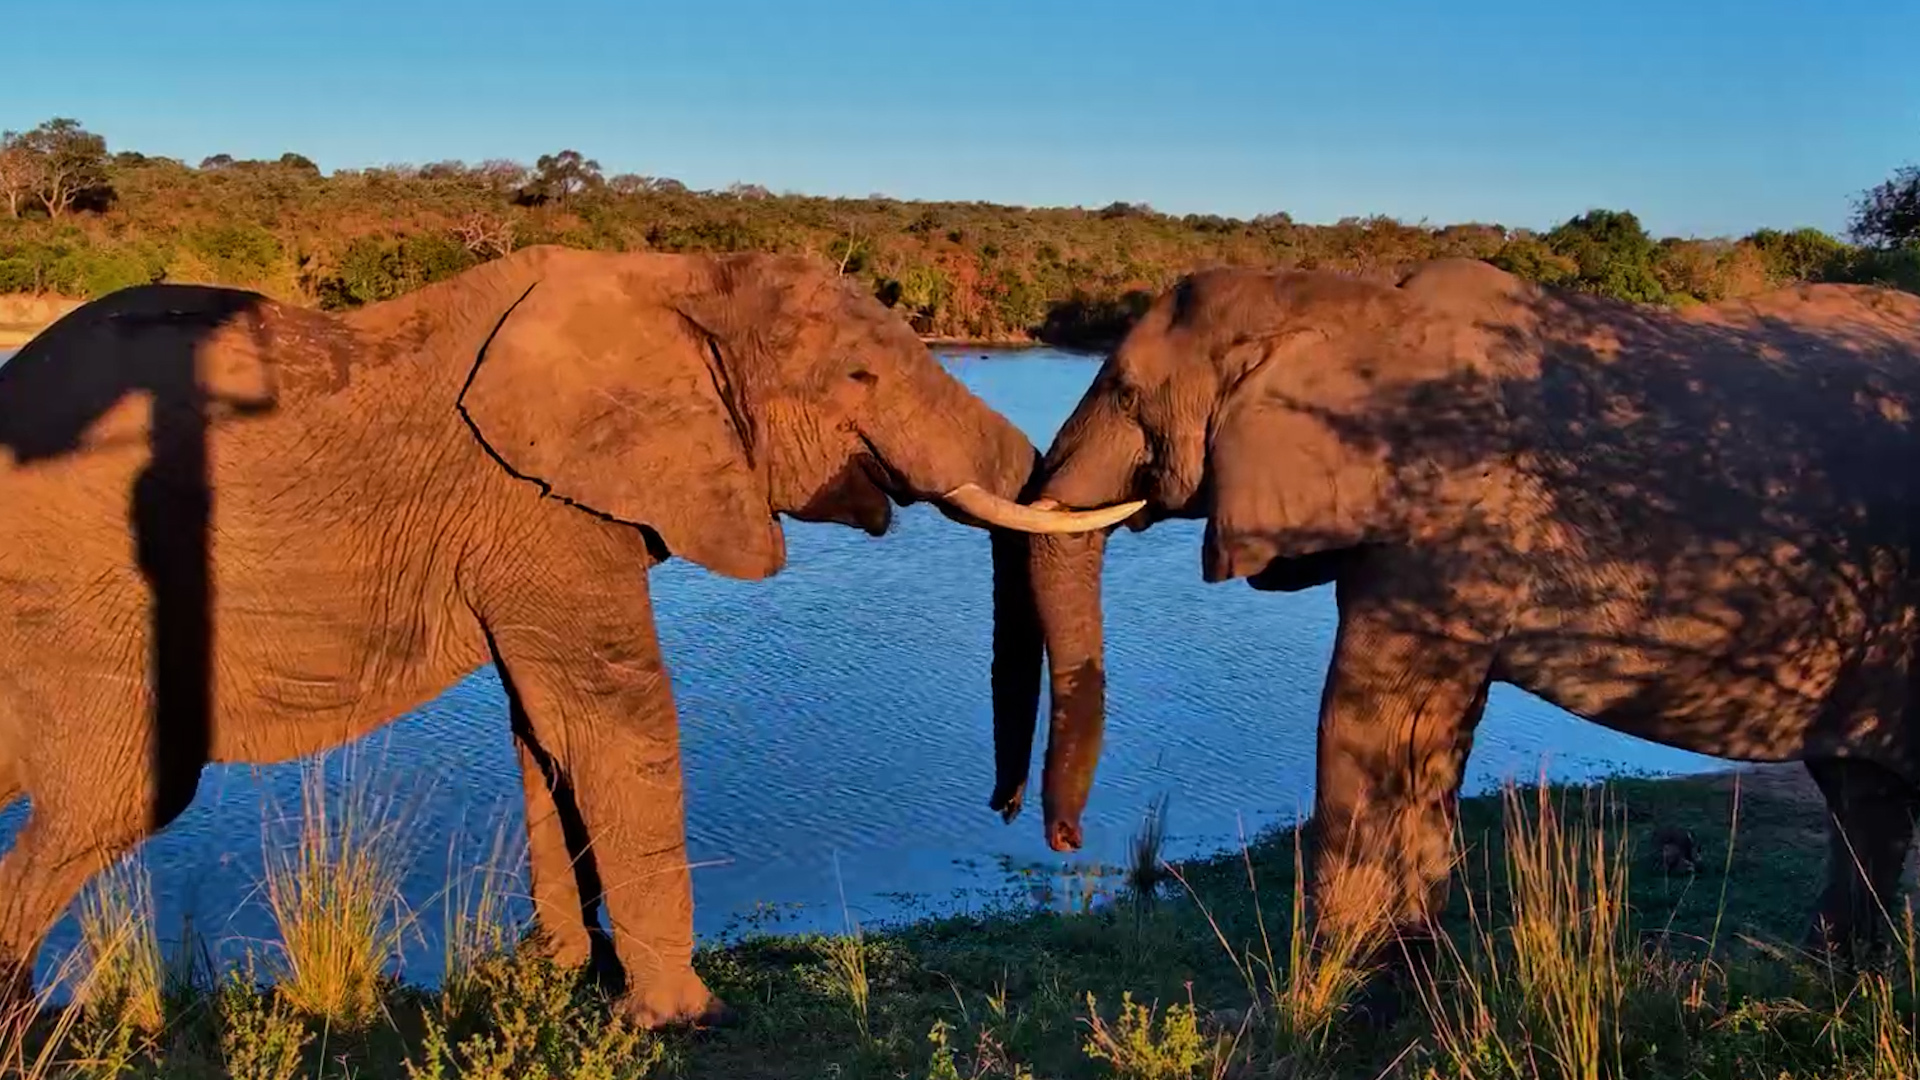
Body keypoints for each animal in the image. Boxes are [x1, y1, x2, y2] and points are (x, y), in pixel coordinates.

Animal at [0, 245, 1139, 1026]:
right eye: (858, 377)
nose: (1017, 818)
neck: (673, 280)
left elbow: (545, 735)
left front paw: (559, 976)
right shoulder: (538, 506)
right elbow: (615, 718)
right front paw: (682, 1018)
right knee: (114, 800)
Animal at [963, 256, 1920, 973]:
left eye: (1127, 393)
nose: (1056, 836)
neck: (1346, 302)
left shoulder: (1453, 507)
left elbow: (1373, 713)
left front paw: (1339, 972)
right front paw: (1399, 961)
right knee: (1858, 786)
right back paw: (1834, 962)